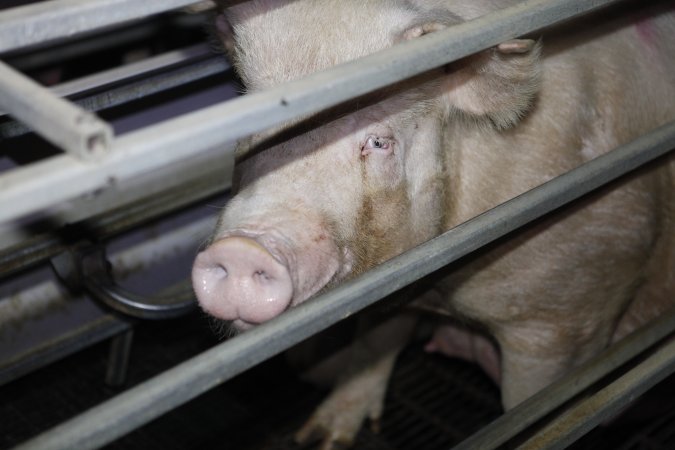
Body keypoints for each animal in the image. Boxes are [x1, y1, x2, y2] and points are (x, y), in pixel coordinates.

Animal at [191, 0, 675, 446]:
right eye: (251, 136)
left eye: (380, 142)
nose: (242, 249)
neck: (443, 286)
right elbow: (372, 345)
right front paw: (319, 439)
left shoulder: (566, 319)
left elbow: (536, 413)